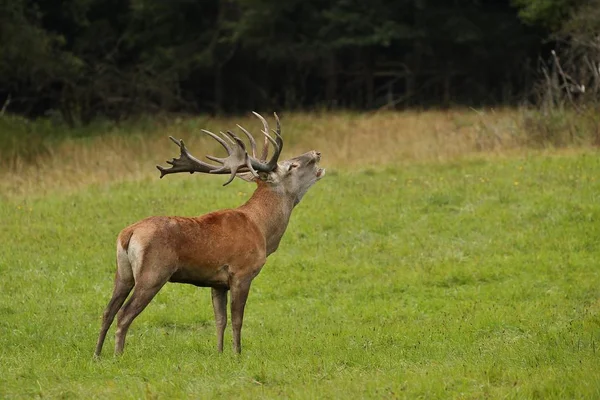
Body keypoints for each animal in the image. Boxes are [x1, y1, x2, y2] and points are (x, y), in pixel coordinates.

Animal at [94, 110, 326, 356]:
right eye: (292, 166)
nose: (317, 152)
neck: (261, 229)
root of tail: (128, 234)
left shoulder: (217, 282)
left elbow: (219, 320)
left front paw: (220, 352)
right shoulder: (241, 272)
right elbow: (237, 320)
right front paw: (237, 354)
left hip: (123, 272)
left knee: (107, 311)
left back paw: (97, 355)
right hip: (153, 273)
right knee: (124, 315)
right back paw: (118, 355)